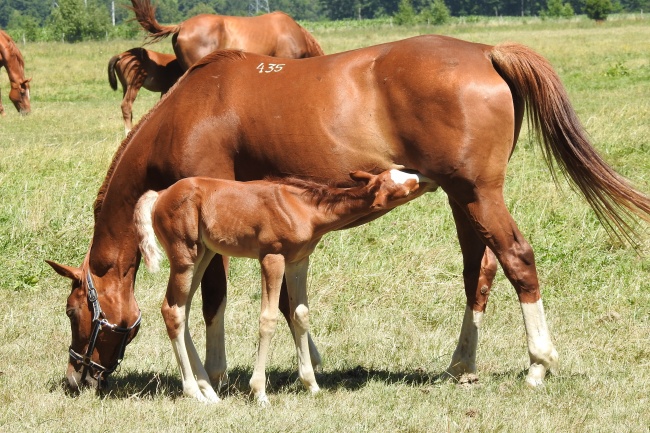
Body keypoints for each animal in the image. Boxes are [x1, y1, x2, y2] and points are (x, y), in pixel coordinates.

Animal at [134, 169, 432, 404]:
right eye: (403, 184)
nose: (426, 176)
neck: (304, 207)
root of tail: (160, 194)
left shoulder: (298, 260)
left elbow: (300, 314)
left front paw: (312, 385)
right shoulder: (272, 257)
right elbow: (268, 319)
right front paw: (259, 392)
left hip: (204, 254)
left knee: (181, 309)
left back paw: (208, 390)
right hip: (184, 256)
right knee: (172, 310)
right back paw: (194, 392)